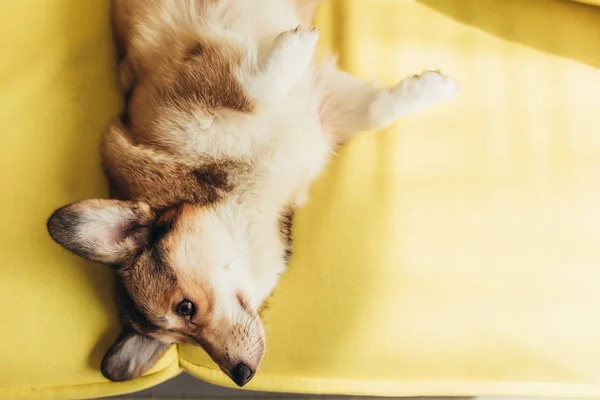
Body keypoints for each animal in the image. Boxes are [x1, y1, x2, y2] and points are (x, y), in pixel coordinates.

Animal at [47, 0, 460, 388]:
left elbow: (249, 88)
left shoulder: (195, 92)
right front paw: (429, 87)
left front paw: (429, 87)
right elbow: (371, 110)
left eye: (185, 307)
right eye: (184, 338)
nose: (242, 375)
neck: (249, 197)